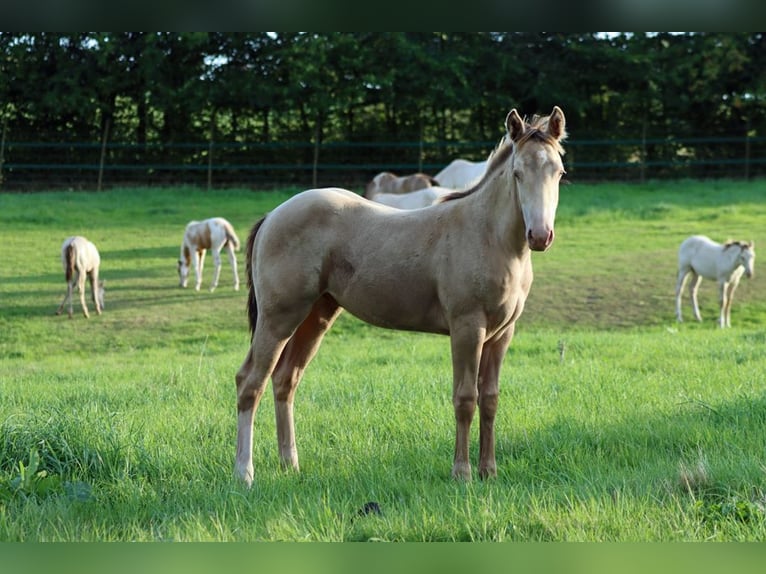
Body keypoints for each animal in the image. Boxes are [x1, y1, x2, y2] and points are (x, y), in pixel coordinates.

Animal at [234, 106, 567, 487]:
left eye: (559, 172)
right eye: (517, 173)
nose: (540, 235)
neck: (487, 237)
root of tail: (273, 215)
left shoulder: (501, 334)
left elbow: (490, 399)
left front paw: (489, 471)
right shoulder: (467, 328)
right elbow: (465, 398)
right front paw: (462, 473)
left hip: (315, 316)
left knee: (285, 380)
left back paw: (290, 464)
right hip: (278, 318)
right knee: (250, 383)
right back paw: (244, 473)